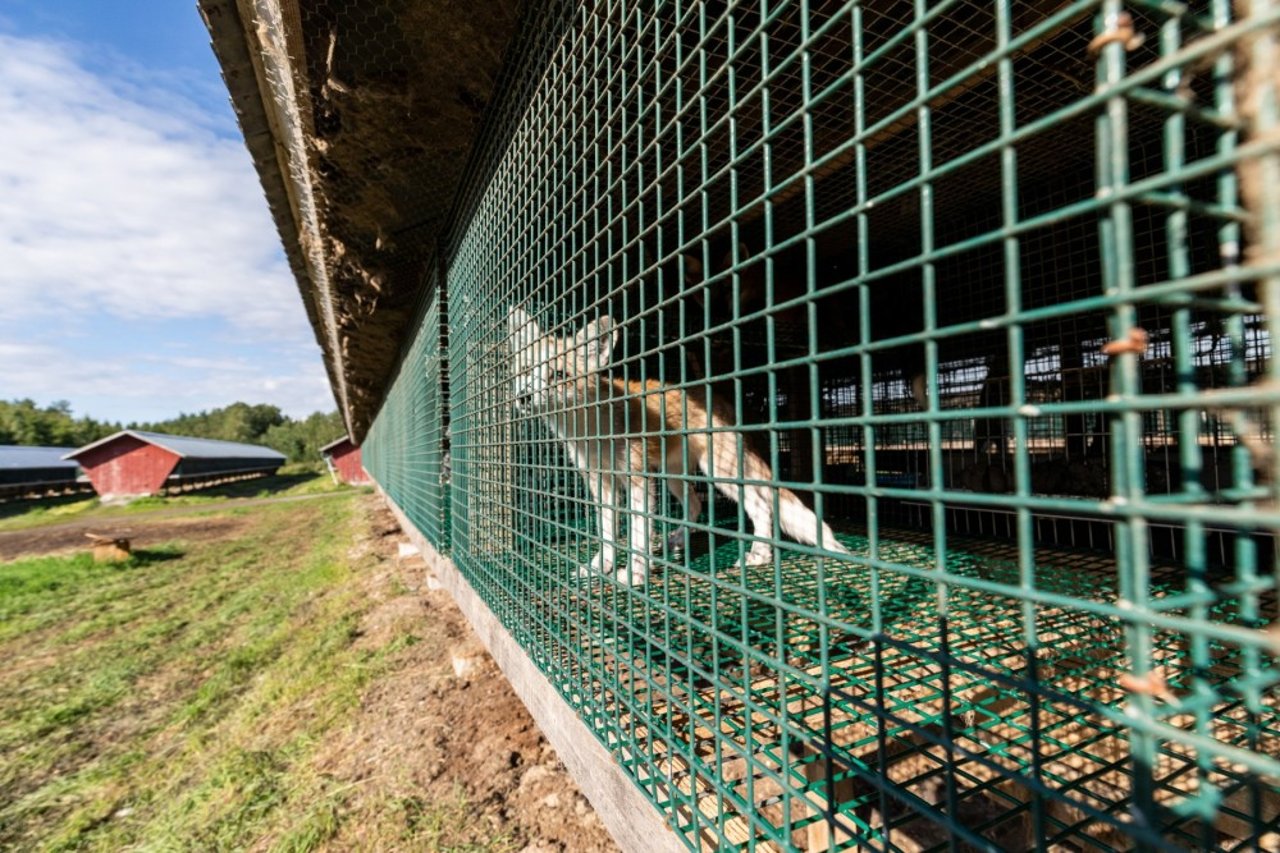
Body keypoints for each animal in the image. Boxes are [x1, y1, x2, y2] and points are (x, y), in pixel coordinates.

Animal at [506, 306, 849, 584]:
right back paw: (680, 540)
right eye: (525, 372)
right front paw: (600, 567)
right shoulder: (600, 482)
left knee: (761, 507)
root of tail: (717, 396)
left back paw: (759, 555)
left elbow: (638, 534)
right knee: (696, 506)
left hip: (721, 473)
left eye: (558, 375)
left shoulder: (637, 480)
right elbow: (607, 533)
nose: (523, 397)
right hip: (674, 477)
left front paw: (635, 574)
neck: (591, 431)